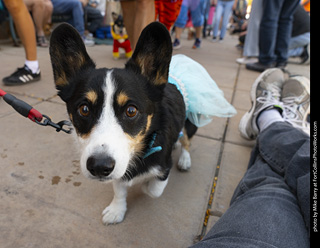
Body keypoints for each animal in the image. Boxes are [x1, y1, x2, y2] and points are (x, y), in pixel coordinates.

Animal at [49, 22, 198, 225]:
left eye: (131, 111)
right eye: (84, 109)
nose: (99, 166)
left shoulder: (163, 167)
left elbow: (153, 189)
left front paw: (144, 184)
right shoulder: (118, 170)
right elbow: (119, 190)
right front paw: (116, 210)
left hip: (188, 120)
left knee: (187, 141)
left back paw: (184, 159)